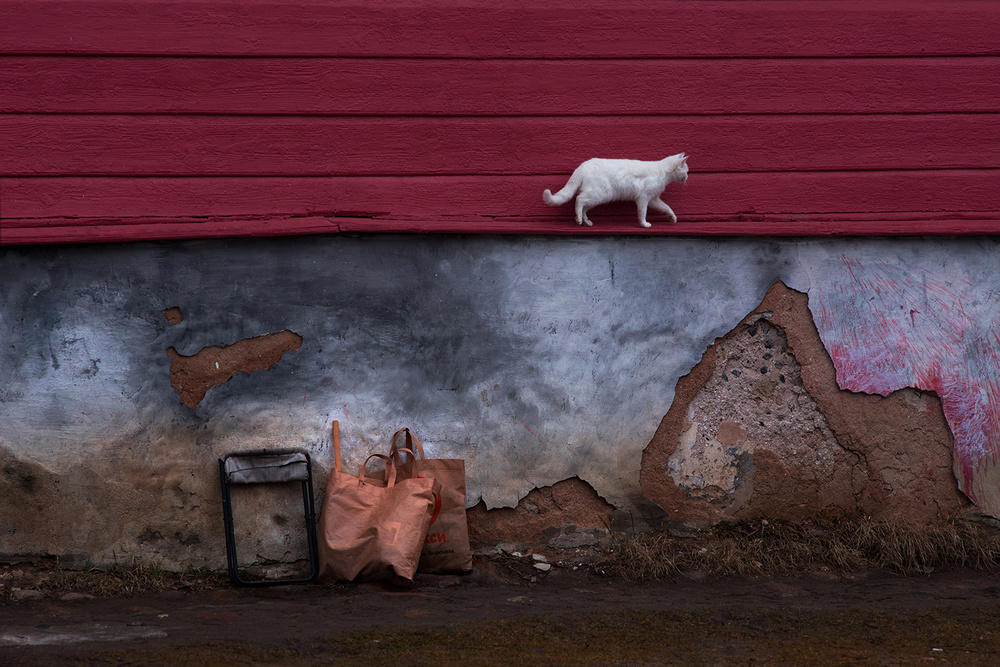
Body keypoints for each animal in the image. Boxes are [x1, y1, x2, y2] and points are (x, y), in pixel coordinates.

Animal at [544, 155, 692, 230]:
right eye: (686, 171)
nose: (687, 178)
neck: (663, 172)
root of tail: (583, 165)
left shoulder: (653, 199)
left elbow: (667, 207)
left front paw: (672, 217)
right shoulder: (643, 198)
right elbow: (642, 213)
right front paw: (644, 224)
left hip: (597, 197)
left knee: (584, 206)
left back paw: (586, 221)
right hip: (599, 194)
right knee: (579, 199)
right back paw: (579, 220)